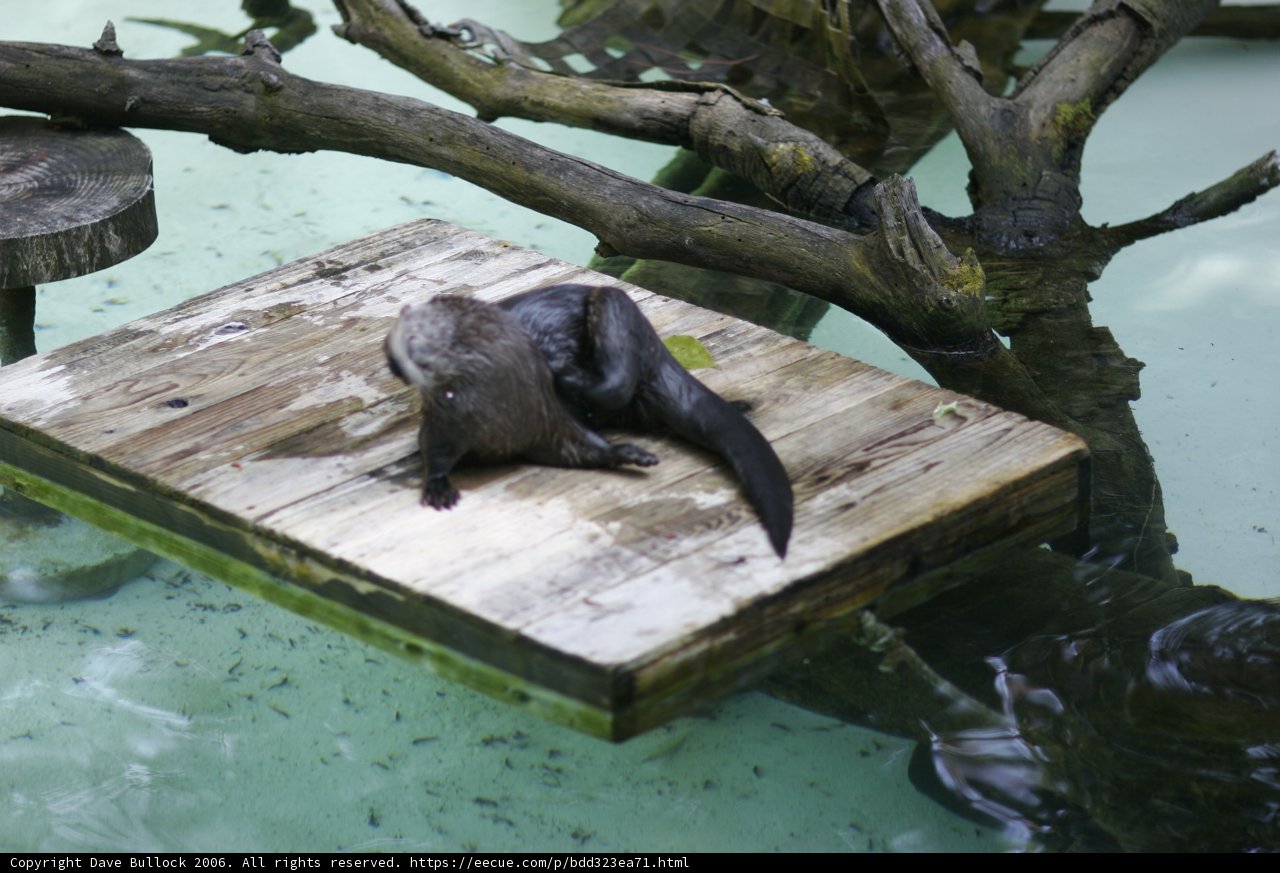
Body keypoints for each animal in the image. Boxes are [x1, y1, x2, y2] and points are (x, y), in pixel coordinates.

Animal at [385, 285, 793, 556]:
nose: (396, 360)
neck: (496, 420)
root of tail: (658, 348)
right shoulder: (445, 426)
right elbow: (434, 451)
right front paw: (438, 485)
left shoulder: (547, 419)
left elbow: (584, 445)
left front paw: (630, 453)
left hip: (613, 306)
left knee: (616, 374)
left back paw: (566, 372)